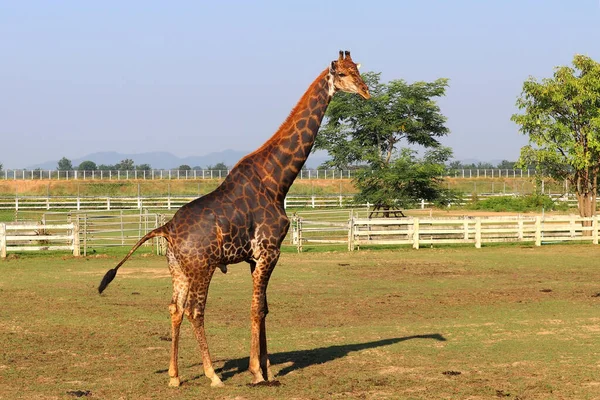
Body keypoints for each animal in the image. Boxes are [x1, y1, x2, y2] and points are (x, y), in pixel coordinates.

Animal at [98, 50, 370, 388]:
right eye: (343, 74)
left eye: (358, 69)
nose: (366, 91)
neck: (277, 182)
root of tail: (167, 229)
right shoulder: (269, 250)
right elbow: (256, 309)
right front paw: (257, 373)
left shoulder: (257, 257)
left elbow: (264, 307)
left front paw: (268, 369)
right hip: (202, 267)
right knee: (195, 311)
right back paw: (213, 375)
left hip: (178, 268)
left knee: (175, 308)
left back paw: (174, 376)